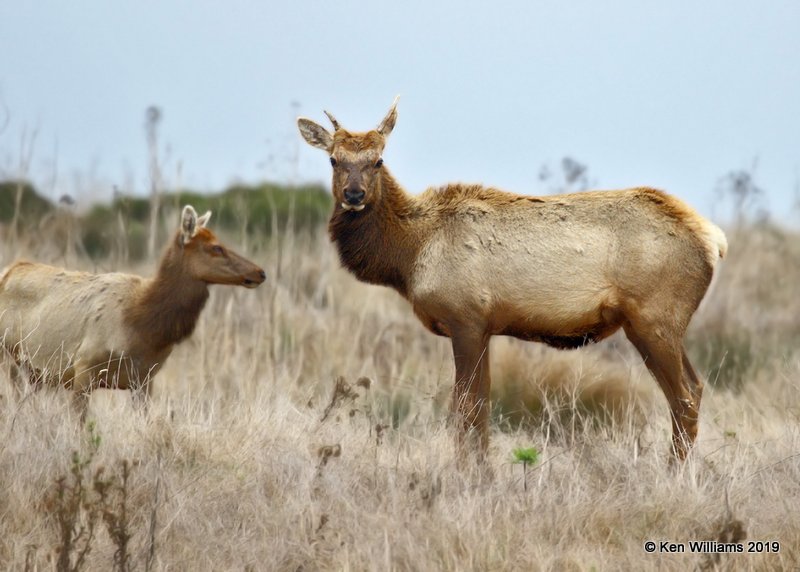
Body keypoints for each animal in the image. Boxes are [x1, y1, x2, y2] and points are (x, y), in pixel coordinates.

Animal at [0, 204, 268, 416]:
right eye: (215, 247)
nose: (260, 272)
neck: (140, 325)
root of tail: (8, 270)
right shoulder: (83, 367)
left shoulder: (144, 379)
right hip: (8, 357)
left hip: (32, 373)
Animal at [296, 98, 728, 460]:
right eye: (333, 160)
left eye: (378, 160)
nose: (354, 195)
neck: (410, 253)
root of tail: (713, 239)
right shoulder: (485, 327)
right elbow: (482, 407)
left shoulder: (466, 319)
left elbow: (466, 408)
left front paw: (470, 475)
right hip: (658, 324)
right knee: (696, 387)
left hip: (654, 319)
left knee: (684, 398)